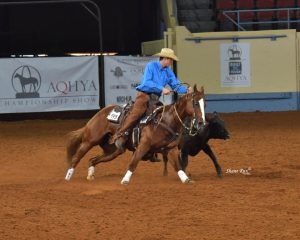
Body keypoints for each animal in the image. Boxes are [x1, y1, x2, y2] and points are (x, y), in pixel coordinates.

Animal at [65, 84, 206, 184]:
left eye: (205, 104)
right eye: (195, 103)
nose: (201, 123)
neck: (165, 121)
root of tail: (100, 113)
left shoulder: (170, 149)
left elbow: (178, 166)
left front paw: (186, 180)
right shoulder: (143, 145)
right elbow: (134, 162)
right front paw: (125, 180)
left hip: (113, 150)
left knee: (93, 159)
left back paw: (90, 175)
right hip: (89, 141)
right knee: (76, 158)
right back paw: (68, 177)